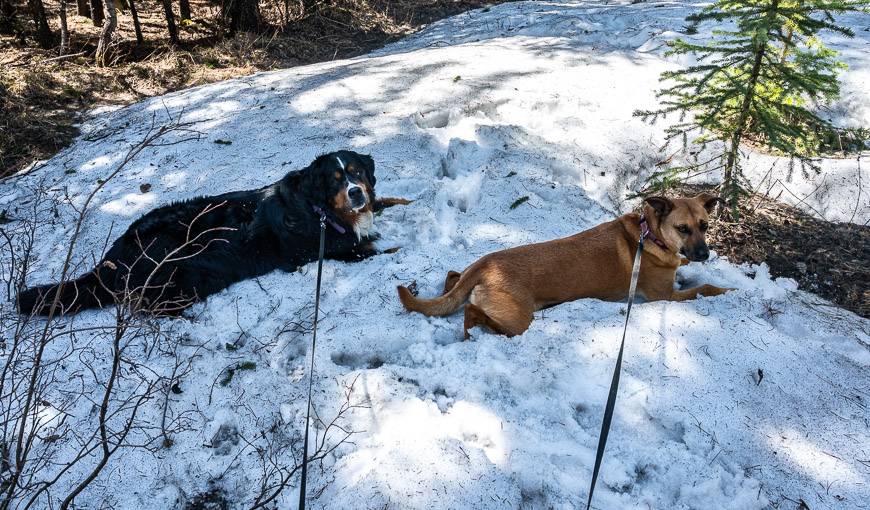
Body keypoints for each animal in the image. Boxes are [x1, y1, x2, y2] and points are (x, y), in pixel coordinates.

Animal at [18, 149, 410, 314]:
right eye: (335, 179)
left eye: (357, 173)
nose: (356, 192)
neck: (320, 209)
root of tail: (110, 260)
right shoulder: (329, 251)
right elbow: (377, 247)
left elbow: (387, 204)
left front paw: (406, 199)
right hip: (179, 269)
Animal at [398, 194, 732, 338]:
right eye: (683, 229)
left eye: (704, 225)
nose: (705, 254)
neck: (651, 234)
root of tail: (485, 263)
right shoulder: (665, 296)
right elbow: (705, 287)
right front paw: (727, 290)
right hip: (518, 318)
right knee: (473, 313)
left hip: (468, 281)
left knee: (452, 277)